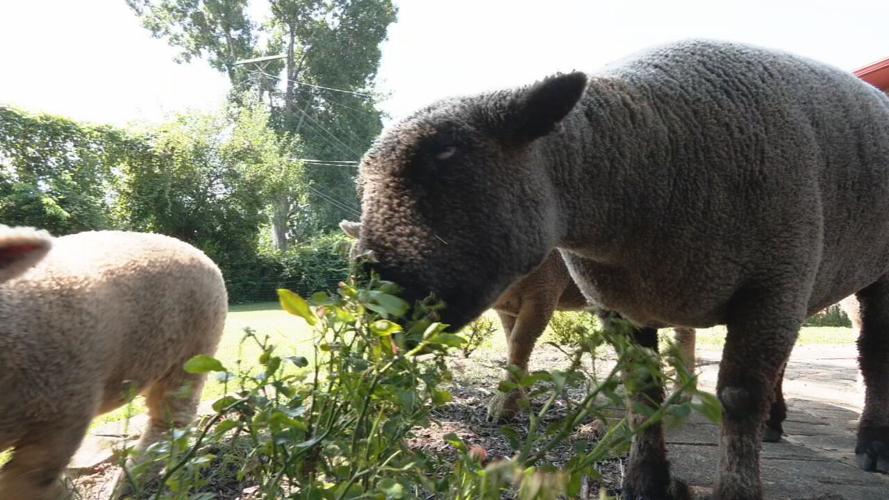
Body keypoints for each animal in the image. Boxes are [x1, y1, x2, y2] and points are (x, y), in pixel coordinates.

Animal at [0, 227, 227, 500]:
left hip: (192, 353)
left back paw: (127, 484)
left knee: (170, 424)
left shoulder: (61, 420)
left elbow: (25, 481)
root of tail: (192, 247)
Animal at [350, 39, 889, 499]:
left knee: (871, 357)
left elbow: (738, 396)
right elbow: (640, 391)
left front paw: (735, 488)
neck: (651, 163)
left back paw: (872, 446)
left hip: (866, 273)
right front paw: (644, 481)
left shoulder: (773, 281)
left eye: (445, 152)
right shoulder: (618, 305)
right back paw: (776, 424)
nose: (377, 295)